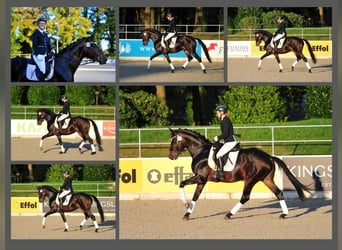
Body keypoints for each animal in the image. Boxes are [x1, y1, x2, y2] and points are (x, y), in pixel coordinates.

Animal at [168, 128, 312, 220]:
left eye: (173, 141)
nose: (171, 156)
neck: (201, 151)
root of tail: (269, 157)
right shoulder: (202, 180)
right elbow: (195, 196)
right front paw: (187, 213)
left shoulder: (200, 177)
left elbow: (181, 184)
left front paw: (186, 204)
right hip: (266, 179)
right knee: (279, 193)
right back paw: (284, 214)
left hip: (250, 179)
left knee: (245, 197)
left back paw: (229, 214)